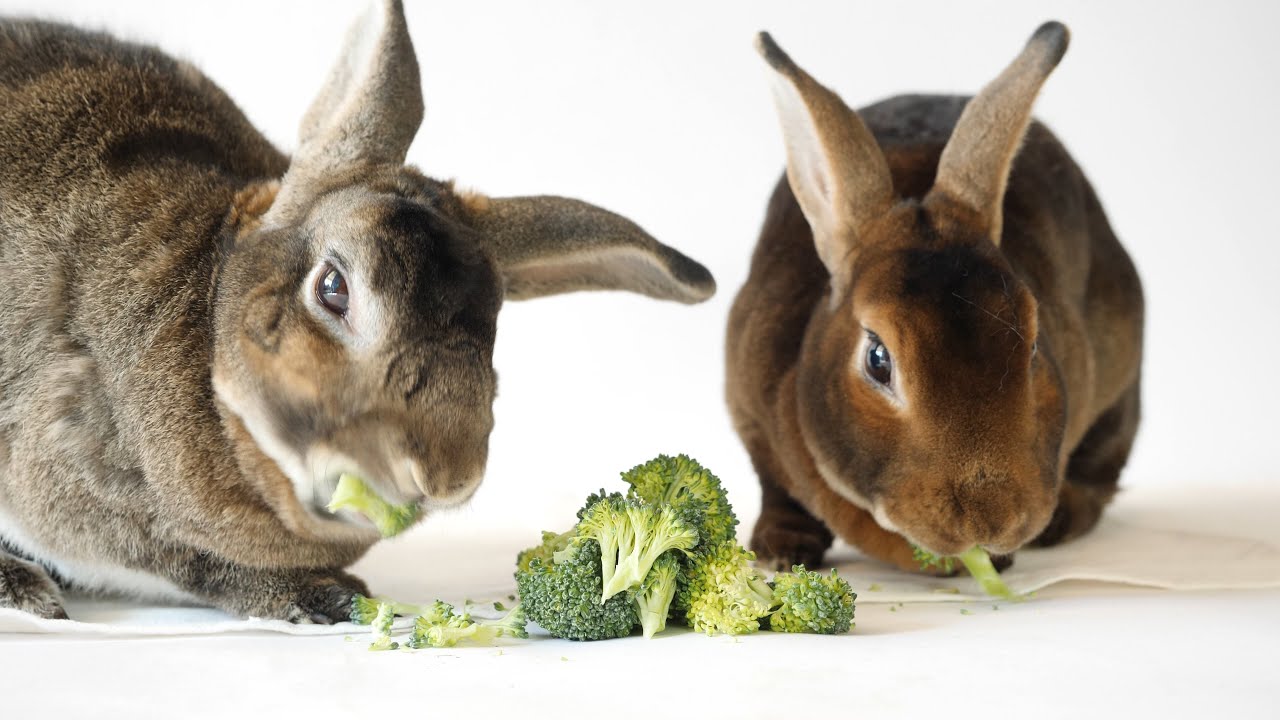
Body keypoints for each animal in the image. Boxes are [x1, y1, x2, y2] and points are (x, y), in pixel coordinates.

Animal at [727, 22, 1143, 574]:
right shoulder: (749, 418)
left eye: (1033, 348)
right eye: (878, 360)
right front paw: (781, 552)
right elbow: (775, 489)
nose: (990, 519)